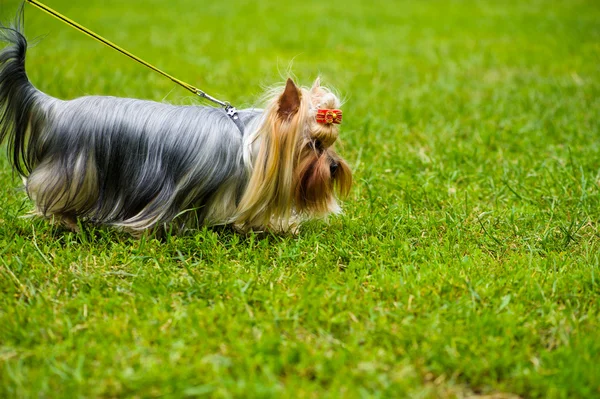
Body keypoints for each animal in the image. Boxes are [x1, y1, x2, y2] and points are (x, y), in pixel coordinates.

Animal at [0, 9, 352, 236]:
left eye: (331, 144)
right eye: (313, 145)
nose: (335, 167)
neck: (253, 143)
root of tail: (58, 108)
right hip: (79, 171)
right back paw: (69, 222)